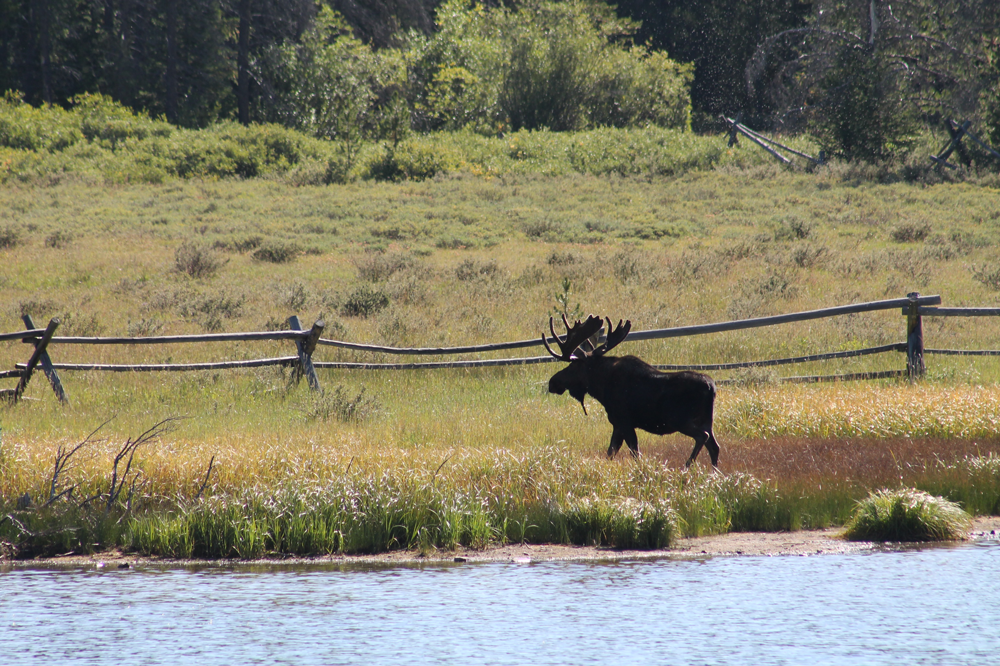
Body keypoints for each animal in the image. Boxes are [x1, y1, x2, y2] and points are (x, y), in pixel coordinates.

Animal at [544, 312, 724, 464]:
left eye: (572, 366)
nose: (552, 382)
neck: (601, 388)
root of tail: (711, 388)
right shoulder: (617, 425)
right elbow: (610, 453)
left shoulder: (624, 421)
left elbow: (635, 454)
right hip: (706, 420)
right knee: (714, 446)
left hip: (680, 419)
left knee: (702, 437)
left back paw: (688, 465)